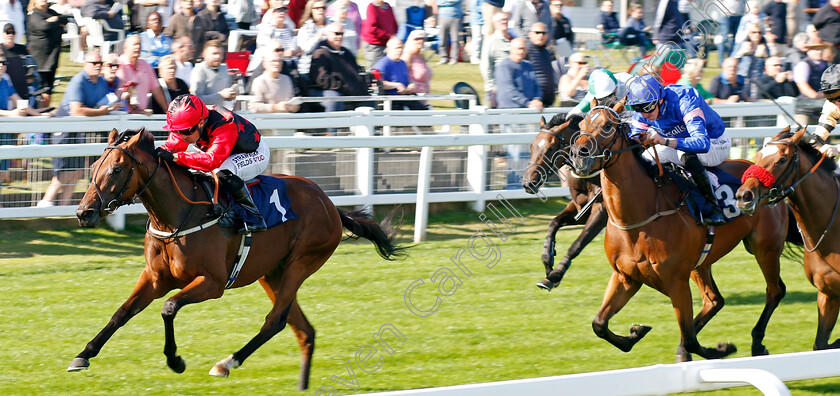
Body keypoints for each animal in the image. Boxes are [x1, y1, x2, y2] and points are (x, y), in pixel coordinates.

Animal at [69, 128, 404, 388]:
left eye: (116, 169)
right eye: (94, 165)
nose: (84, 213)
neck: (178, 215)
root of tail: (332, 205)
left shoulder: (213, 282)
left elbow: (169, 307)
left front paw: (175, 360)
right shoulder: (154, 278)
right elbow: (122, 312)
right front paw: (83, 355)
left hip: (301, 262)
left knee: (275, 321)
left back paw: (227, 363)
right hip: (271, 272)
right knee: (303, 329)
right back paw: (301, 385)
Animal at [520, 113, 608, 290]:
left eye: (551, 148)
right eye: (532, 146)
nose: (528, 183)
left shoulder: (601, 213)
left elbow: (578, 244)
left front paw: (556, 275)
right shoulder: (580, 210)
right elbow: (553, 223)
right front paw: (548, 262)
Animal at [568, 100, 796, 360]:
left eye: (607, 126)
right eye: (582, 124)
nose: (577, 155)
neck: (638, 219)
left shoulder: (676, 282)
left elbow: (690, 339)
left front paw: (721, 349)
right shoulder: (625, 277)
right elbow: (599, 324)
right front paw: (635, 333)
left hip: (765, 249)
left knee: (774, 291)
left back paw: (757, 343)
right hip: (702, 261)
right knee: (714, 301)